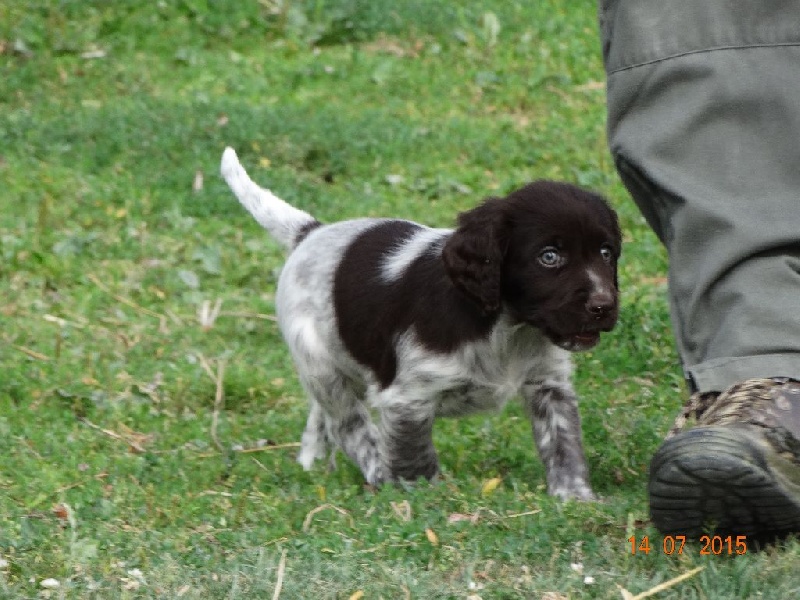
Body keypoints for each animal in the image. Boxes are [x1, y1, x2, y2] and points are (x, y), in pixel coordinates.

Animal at [222, 148, 620, 500]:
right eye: (549, 257)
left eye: (606, 253)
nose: (604, 306)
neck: (504, 327)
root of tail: (310, 232)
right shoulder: (407, 398)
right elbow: (413, 458)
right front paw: (423, 500)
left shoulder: (549, 384)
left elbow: (563, 442)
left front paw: (575, 498)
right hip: (319, 361)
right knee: (349, 425)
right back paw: (374, 473)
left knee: (323, 417)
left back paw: (312, 462)